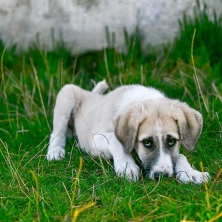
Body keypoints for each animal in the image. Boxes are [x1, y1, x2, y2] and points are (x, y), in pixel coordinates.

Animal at [46, 80, 210, 183]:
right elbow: (115, 140)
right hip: (68, 92)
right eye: (147, 142)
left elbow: (180, 155)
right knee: (56, 133)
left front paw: (191, 173)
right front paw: (127, 166)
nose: (162, 175)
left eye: (171, 141)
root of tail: (91, 94)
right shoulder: (94, 139)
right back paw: (55, 151)